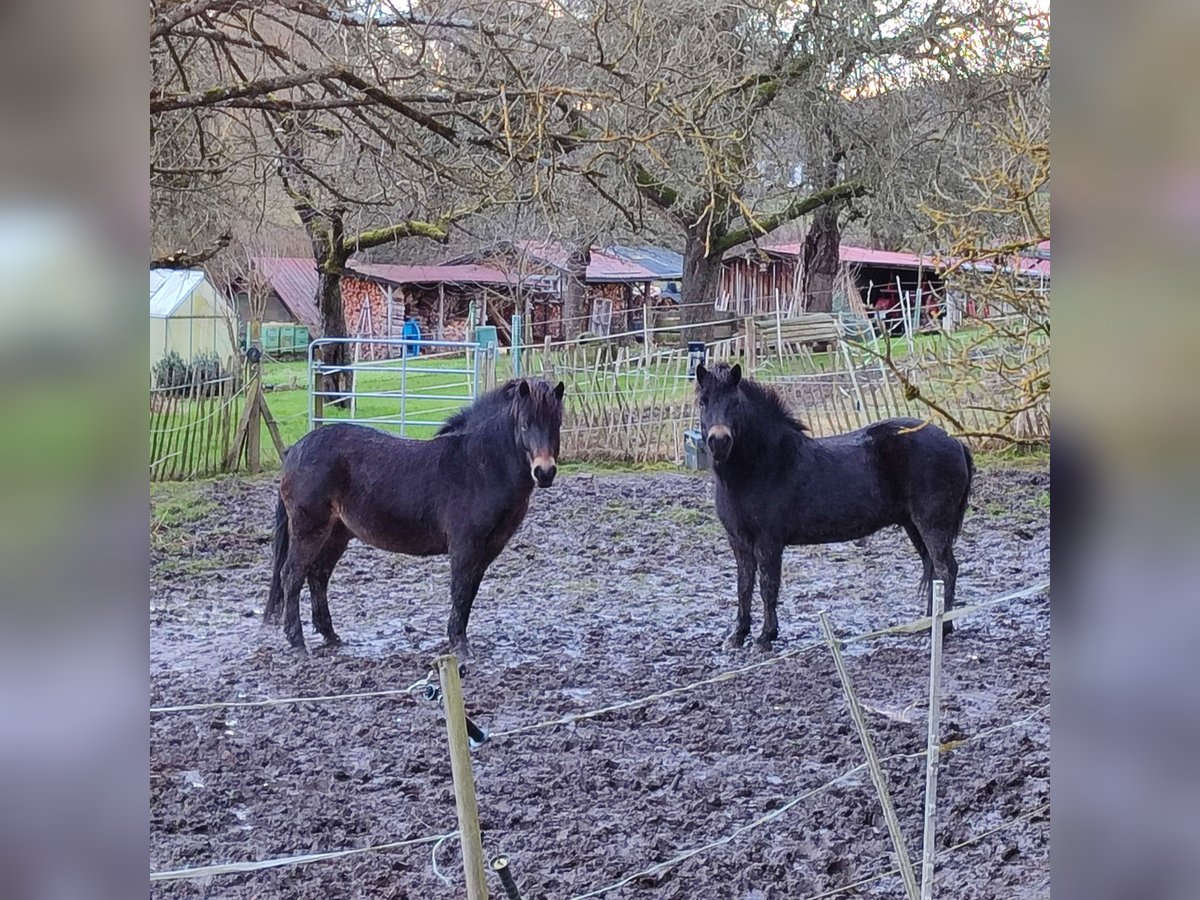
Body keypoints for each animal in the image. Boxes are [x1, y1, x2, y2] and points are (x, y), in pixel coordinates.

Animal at [265, 376, 564, 657]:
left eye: (557, 424)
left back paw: (331, 636)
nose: (544, 472)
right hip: (309, 529)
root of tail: (294, 450)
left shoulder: (488, 549)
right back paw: (298, 642)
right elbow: (460, 592)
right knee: (292, 576)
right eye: (524, 424)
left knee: (318, 575)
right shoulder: (465, 546)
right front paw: (459, 645)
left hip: (337, 533)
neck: (479, 465)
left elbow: (469, 594)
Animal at [700, 362, 969, 652]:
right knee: (933, 569)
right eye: (703, 401)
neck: (762, 464)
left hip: (931, 524)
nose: (719, 441)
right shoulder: (739, 541)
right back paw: (929, 624)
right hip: (914, 526)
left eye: (736, 402)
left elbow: (767, 587)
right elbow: (744, 585)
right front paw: (738, 635)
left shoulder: (768, 542)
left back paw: (942, 627)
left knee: (946, 569)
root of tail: (955, 441)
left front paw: (765, 638)